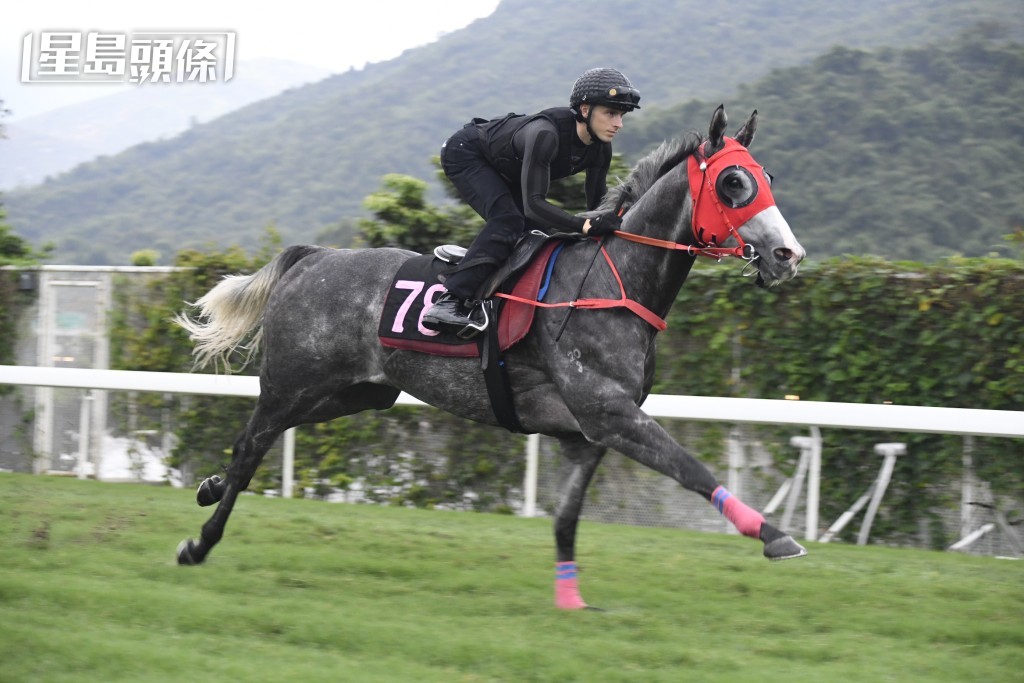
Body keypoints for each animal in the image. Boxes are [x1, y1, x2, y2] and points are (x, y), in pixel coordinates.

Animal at [176, 105, 806, 610]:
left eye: (767, 177)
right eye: (732, 182)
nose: (788, 254)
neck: (614, 280)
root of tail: (311, 258)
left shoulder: (587, 433)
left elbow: (566, 520)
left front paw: (570, 600)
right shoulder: (609, 412)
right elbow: (692, 468)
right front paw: (774, 535)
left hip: (358, 392)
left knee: (261, 440)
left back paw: (210, 484)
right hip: (292, 379)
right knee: (252, 445)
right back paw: (200, 541)